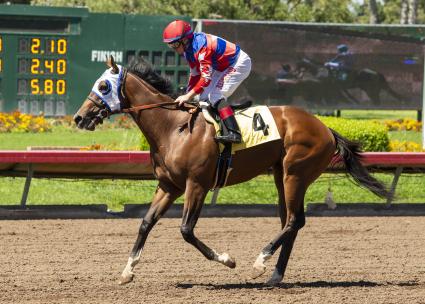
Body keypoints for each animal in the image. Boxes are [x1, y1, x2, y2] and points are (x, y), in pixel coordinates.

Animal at [73, 55, 390, 286]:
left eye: (104, 87)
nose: (79, 117)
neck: (173, 127)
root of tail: (325, 128)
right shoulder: (169, 186)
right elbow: (145, 223)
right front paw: (127, 271)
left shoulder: (197, 185)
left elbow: (186, 230)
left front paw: (227, 260)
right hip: (281, 176)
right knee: (292, 221)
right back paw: (274, 275)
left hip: (295, 174)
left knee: (293, 221)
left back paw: (260, 262)